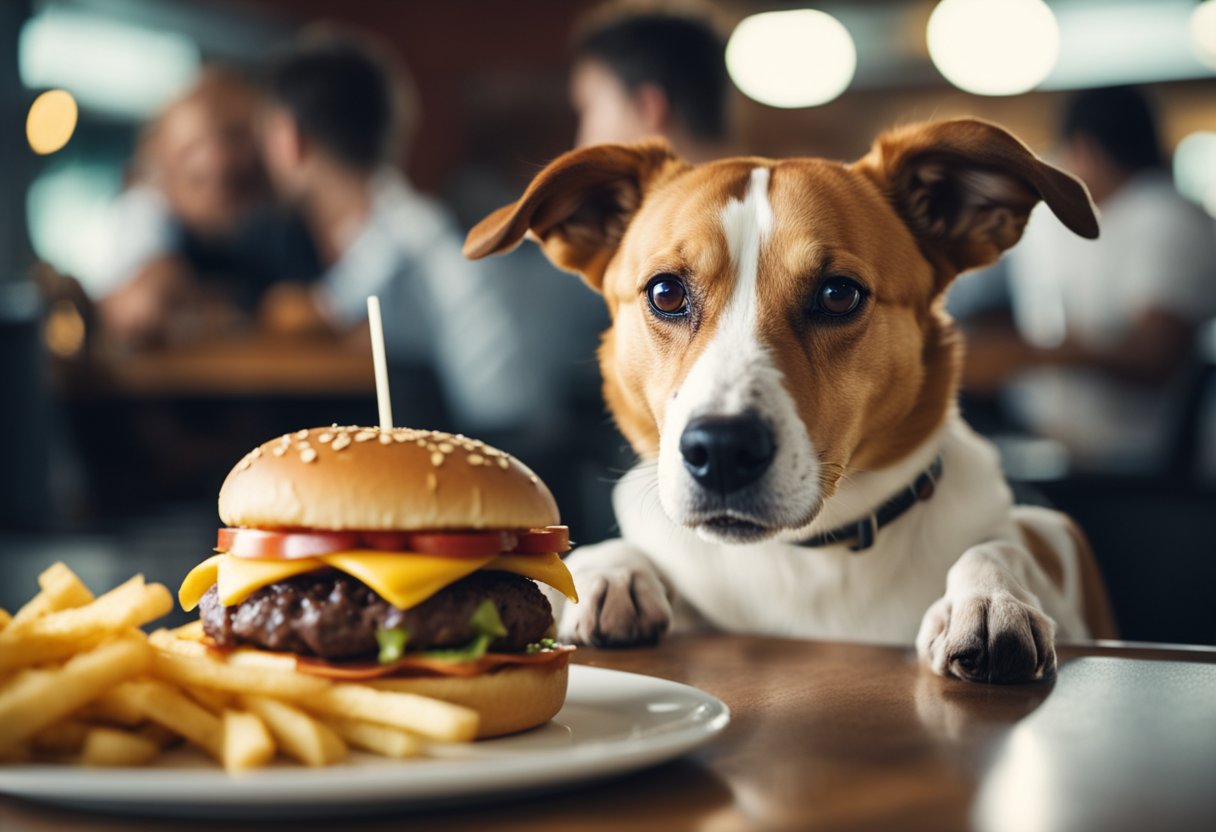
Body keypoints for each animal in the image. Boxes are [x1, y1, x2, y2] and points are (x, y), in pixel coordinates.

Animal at [464, 120, 1118, 686]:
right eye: (666, 292)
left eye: (838, 295)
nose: (721, 451)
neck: (803, 559)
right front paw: (612, 570)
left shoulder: (1044, 535)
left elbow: (1004, 543)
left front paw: (988, 596)